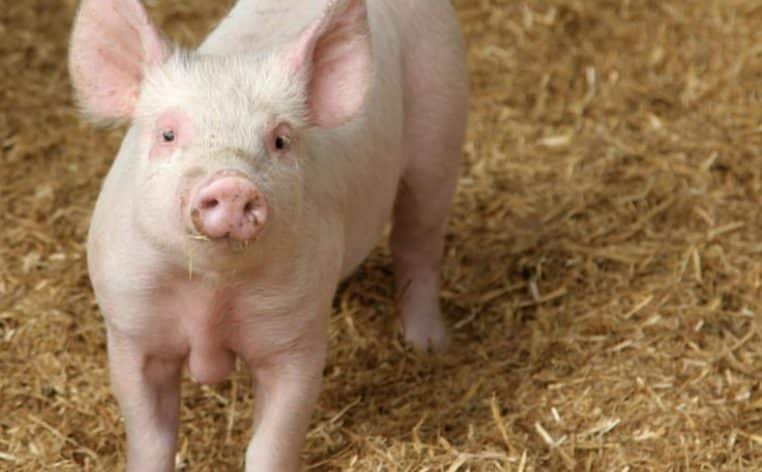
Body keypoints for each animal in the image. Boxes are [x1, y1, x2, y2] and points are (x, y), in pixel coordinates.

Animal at [68, 0, 468, 470]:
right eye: (167, 133)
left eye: (280, 140)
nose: (232, 184)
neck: (212, 291)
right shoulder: (132, 331)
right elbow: (151, 439)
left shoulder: (294, 339)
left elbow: (273, 442)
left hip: (441, 130)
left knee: (417, 244)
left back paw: (428, 346)